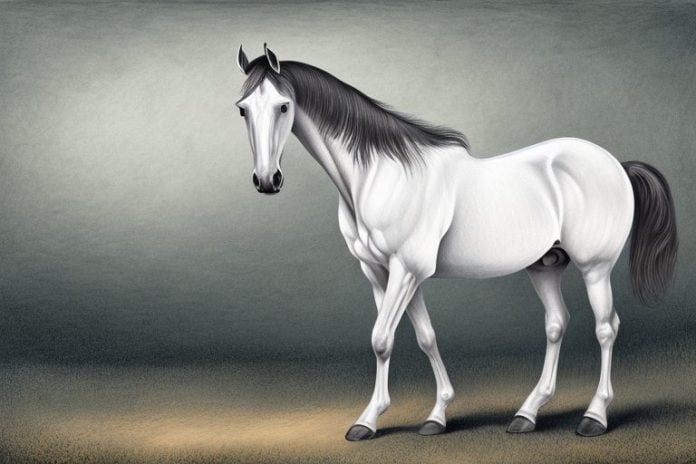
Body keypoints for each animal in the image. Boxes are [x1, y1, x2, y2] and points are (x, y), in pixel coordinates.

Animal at [234, 44, 678, 441]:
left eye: (283, 106)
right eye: (242, 108)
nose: (267, 180)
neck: (379, 177)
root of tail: (616, 164)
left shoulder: (406, 270)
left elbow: (381, 339)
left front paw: (367, 422)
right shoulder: (381, 273)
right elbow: (421, 337)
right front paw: (435, 415)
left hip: (595, 268)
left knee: (606, 328)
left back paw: (594, 417)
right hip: (545, 265)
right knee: (556, 324)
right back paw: (527, 414)